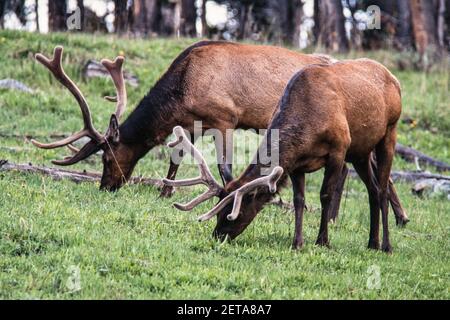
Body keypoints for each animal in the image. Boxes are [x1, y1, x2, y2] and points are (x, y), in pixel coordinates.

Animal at [32, 42, 408, 225]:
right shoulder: (194, 121)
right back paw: (398, 218)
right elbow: (176, 157)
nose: (106, 186)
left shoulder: (225, 117)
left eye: (107, 157)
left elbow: (224, 168)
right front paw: (166, 193)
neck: (182, 90)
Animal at [167, 57, 402, 252]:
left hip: (389, 132)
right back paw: (372, 242)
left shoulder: (339, 148)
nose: (217, 235)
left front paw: (322, 241)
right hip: (360, 152)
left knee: (382, 189)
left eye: (234, 213)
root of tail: (393, 77)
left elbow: (325, 195)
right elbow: (299, 200)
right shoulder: (297, 163)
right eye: (218, 211)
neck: (309, 124)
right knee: (372, 189)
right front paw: (297, 243)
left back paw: (386, 246)